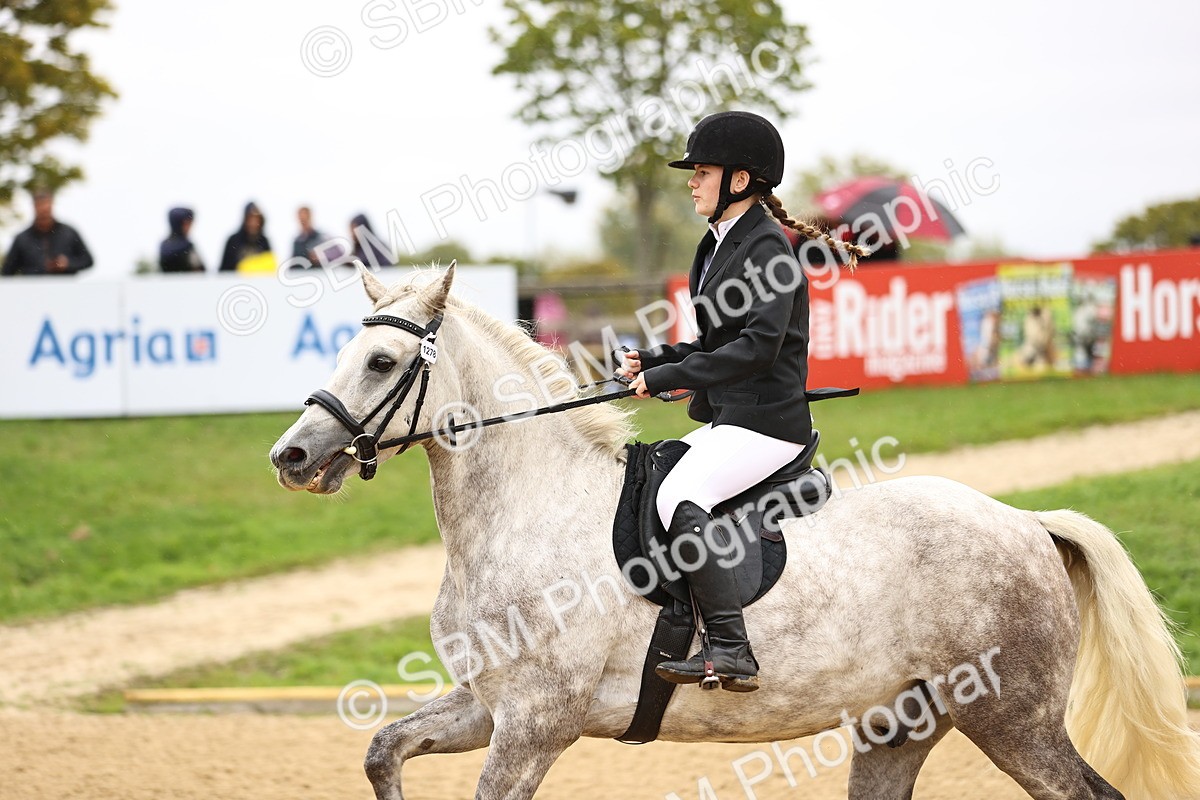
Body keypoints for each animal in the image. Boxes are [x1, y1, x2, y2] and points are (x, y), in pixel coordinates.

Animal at [269, 265, 1200, 800]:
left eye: (382, 363)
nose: (291, 456)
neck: (524, 505)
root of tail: (1028, 523)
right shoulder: (488, 705)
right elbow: (383, 751)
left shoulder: (537, 721)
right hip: (900, 724)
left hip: (1015, 719)